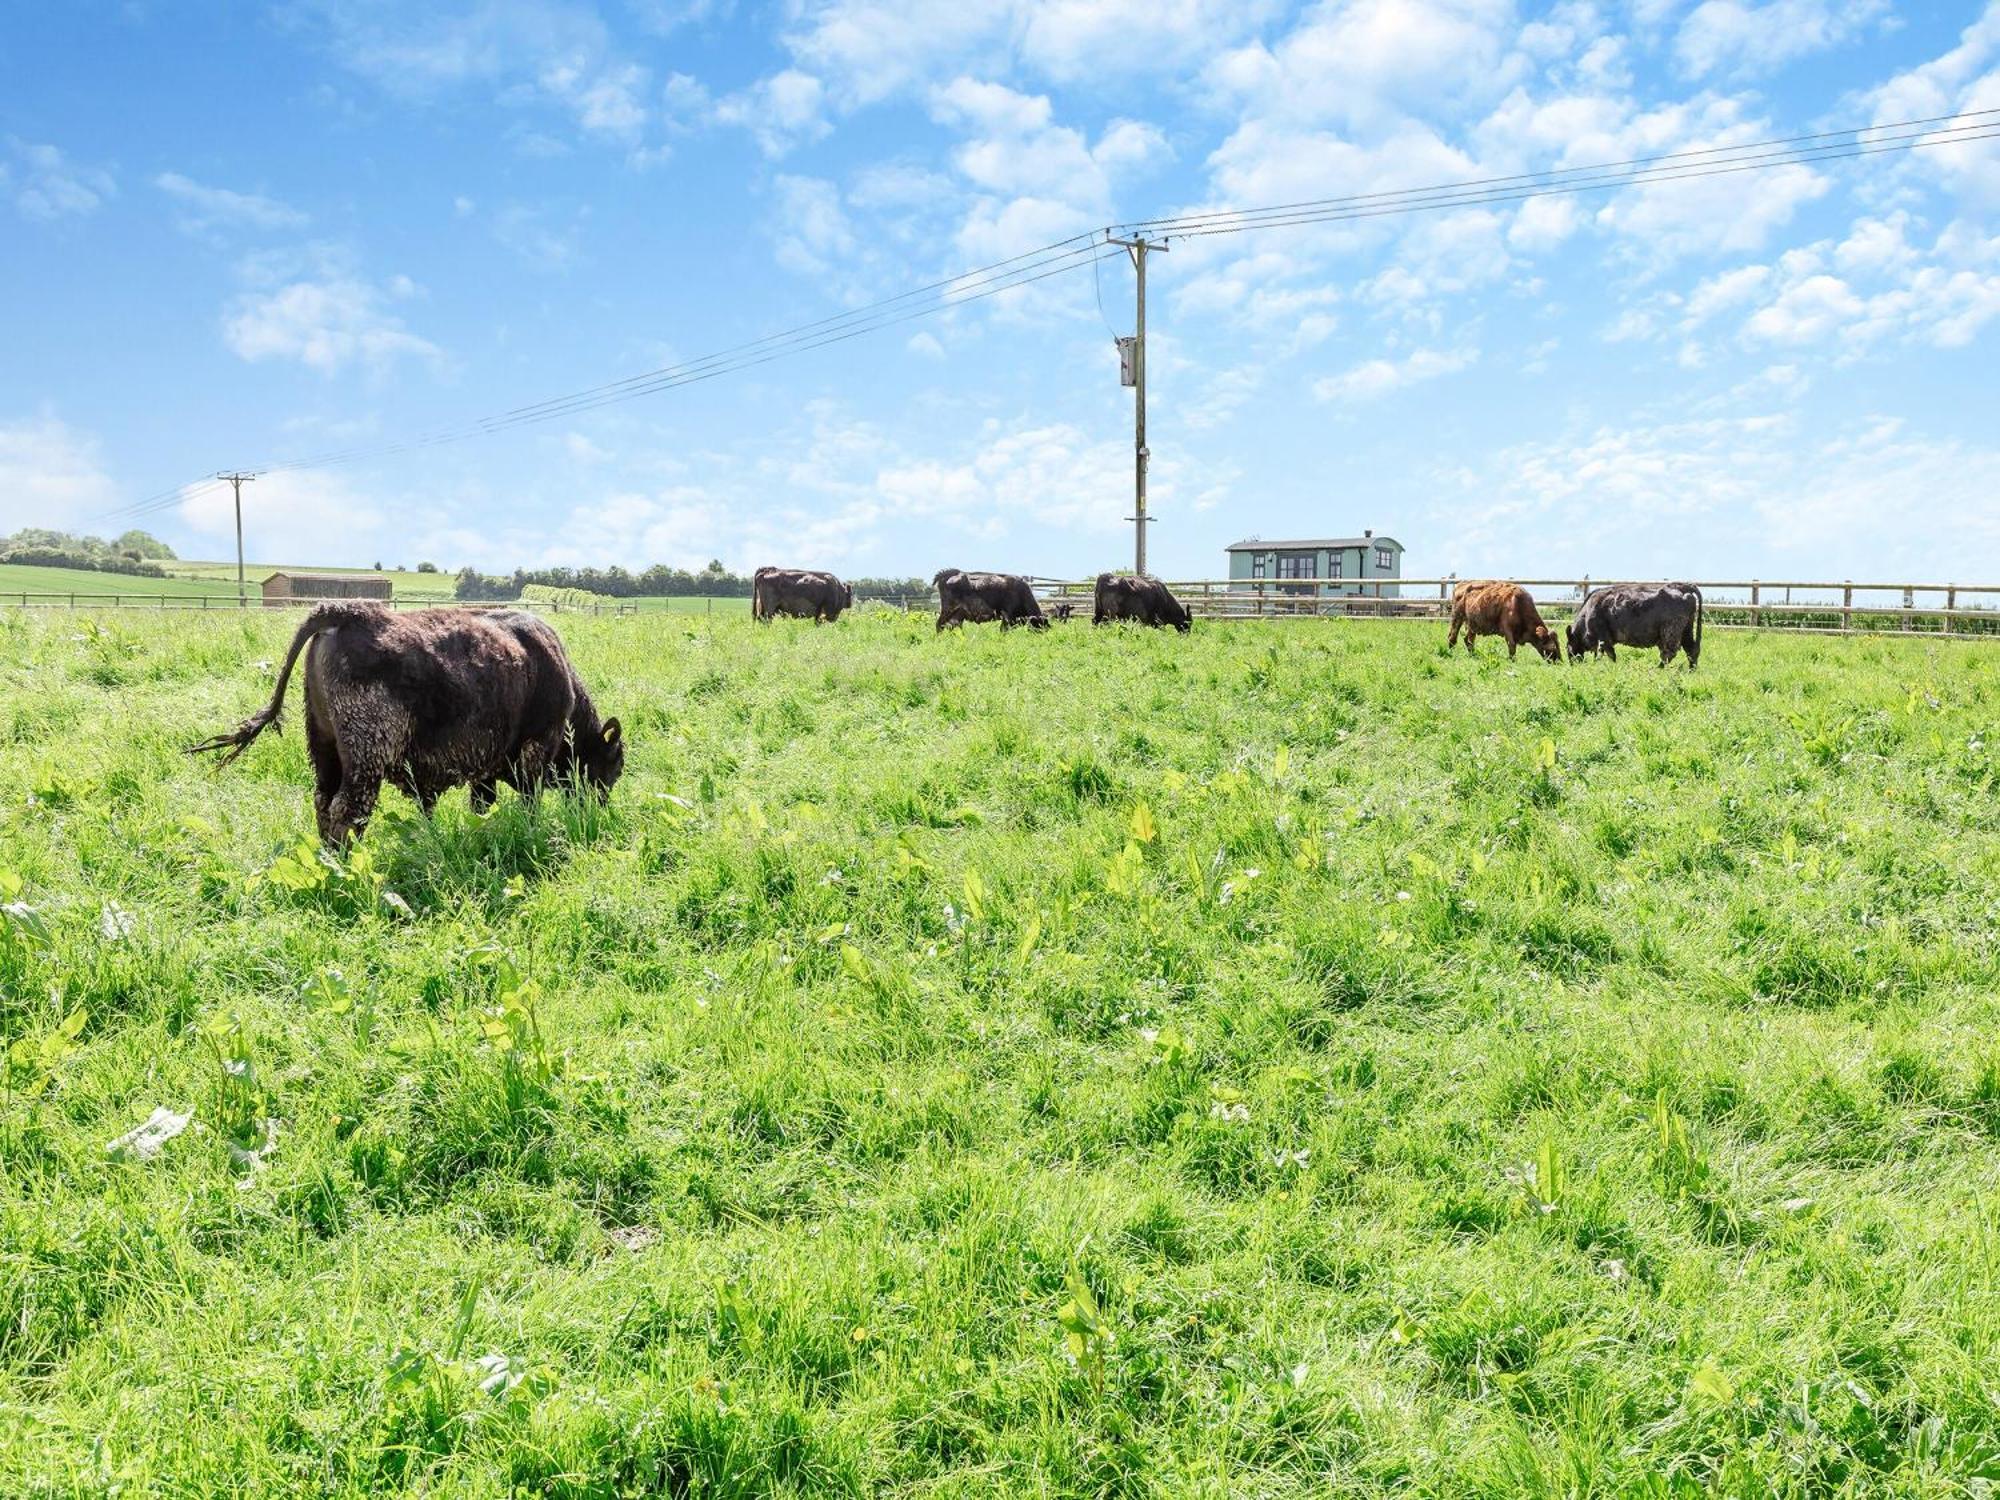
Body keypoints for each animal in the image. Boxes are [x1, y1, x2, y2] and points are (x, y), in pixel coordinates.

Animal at [189, 604, 624, 852]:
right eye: (612, 768)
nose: (599, 810)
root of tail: (347, 613)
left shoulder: (486, 770)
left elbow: (482, 803)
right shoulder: (533, 752)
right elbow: (528, 801)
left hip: (325, 750)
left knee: (323, 800)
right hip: (365, 761)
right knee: (348, 809)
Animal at [1560, 584, 1704, 672]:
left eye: (1568, 647)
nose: (1571, 664)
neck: (1588, 612)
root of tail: (1684, 589)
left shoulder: (1604, 640)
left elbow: (1611, 656)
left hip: (1670, 632)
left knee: (1668, 653)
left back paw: (1657, 668)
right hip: (1686, 631)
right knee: (1691, 650)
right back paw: (1691, 670)